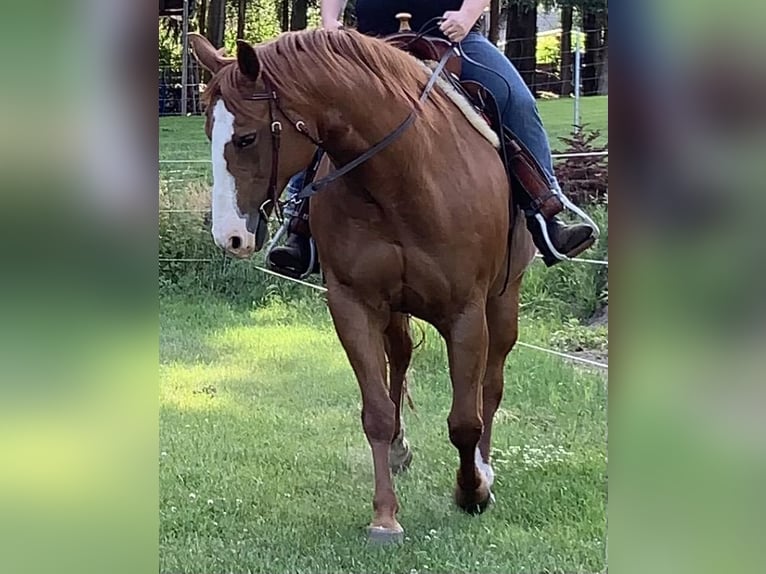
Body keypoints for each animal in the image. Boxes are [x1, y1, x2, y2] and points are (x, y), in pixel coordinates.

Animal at [189, 30, 536, 544]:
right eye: (208, 132)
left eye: (247, 137)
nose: (229, 237)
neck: (403, 178)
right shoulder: (353, 305)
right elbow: (375, 410)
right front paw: (385, 516)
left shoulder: (466, 313)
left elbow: (465, 420)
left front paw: (472, 490)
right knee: (401, 358)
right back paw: (399, 447)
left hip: (503, 301)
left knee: (491, 384)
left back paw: (484, 468)